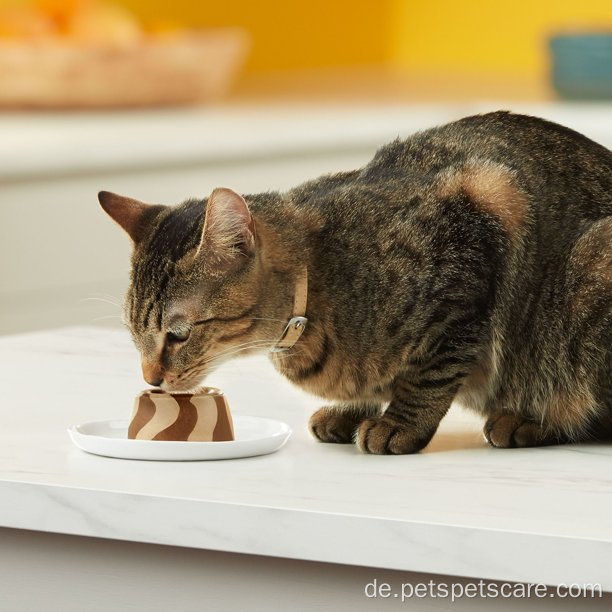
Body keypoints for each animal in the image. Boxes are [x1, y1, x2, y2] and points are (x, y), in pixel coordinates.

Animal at [98, 111, 608, 454]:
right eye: (134, 334)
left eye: (178, 334)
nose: (150, 378)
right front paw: (351, 410)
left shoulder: (480, 223)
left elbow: (430, 373)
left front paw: (399, 423)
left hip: (587, 278)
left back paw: (529, 420)